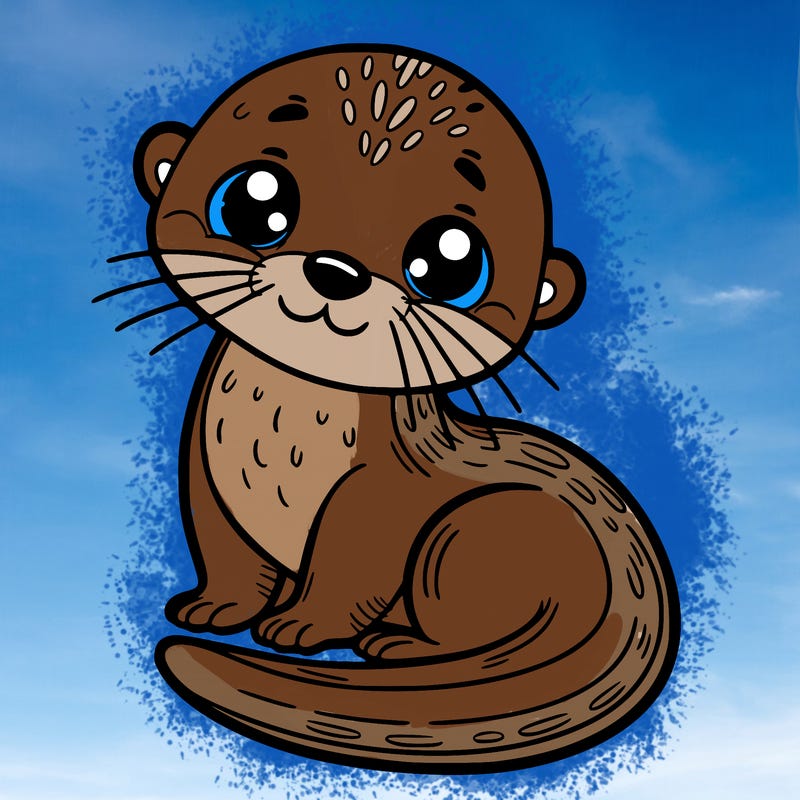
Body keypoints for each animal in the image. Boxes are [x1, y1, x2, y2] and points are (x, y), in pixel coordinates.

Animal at [104, 44, 679, 773]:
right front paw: (214, 608)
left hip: (470, 531)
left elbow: (353, 563)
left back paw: (400, 645)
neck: (276, 437)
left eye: (449, 261)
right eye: (254, 200)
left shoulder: (379, 490)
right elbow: (224, 550)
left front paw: (300, 626)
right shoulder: (207, 468)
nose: (335, 270)